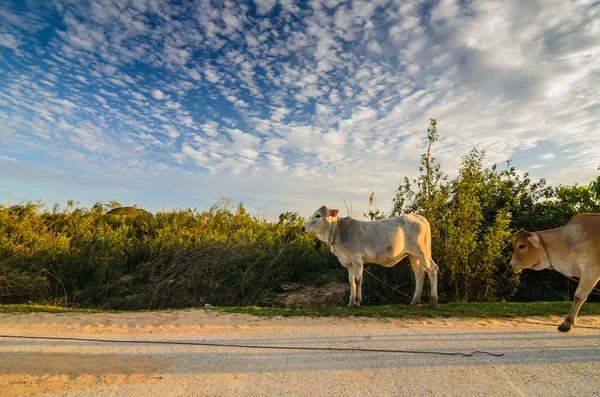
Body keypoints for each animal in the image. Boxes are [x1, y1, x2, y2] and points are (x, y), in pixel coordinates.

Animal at [302, 206, 438, 308]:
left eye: (318, 216)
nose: (303, 227)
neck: (338, 232)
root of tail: (419, 217)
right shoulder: (349, 263)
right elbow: (351, 281)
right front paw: (350, 302)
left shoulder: (357, 259)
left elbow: (358, 280)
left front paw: (357, 302)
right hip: (412, 256)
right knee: (419, 274)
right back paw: (414, 301)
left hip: (422, 252)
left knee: (432, 269)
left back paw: (433, 301)